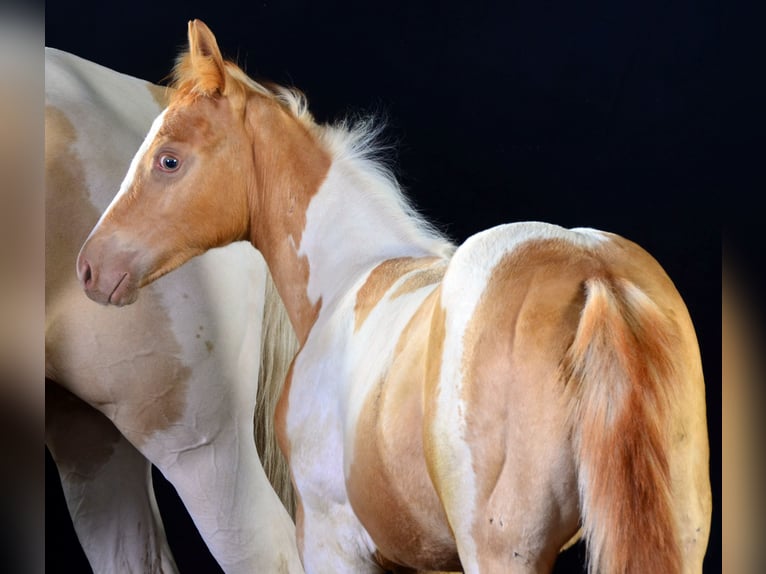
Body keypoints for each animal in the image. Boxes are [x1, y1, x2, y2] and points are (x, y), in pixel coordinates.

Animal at [76, 20, 712, 573]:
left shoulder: (333, 546)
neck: (344, 282)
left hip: (504, 552)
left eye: (169, 160)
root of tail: (595, 276)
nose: (90, 267)